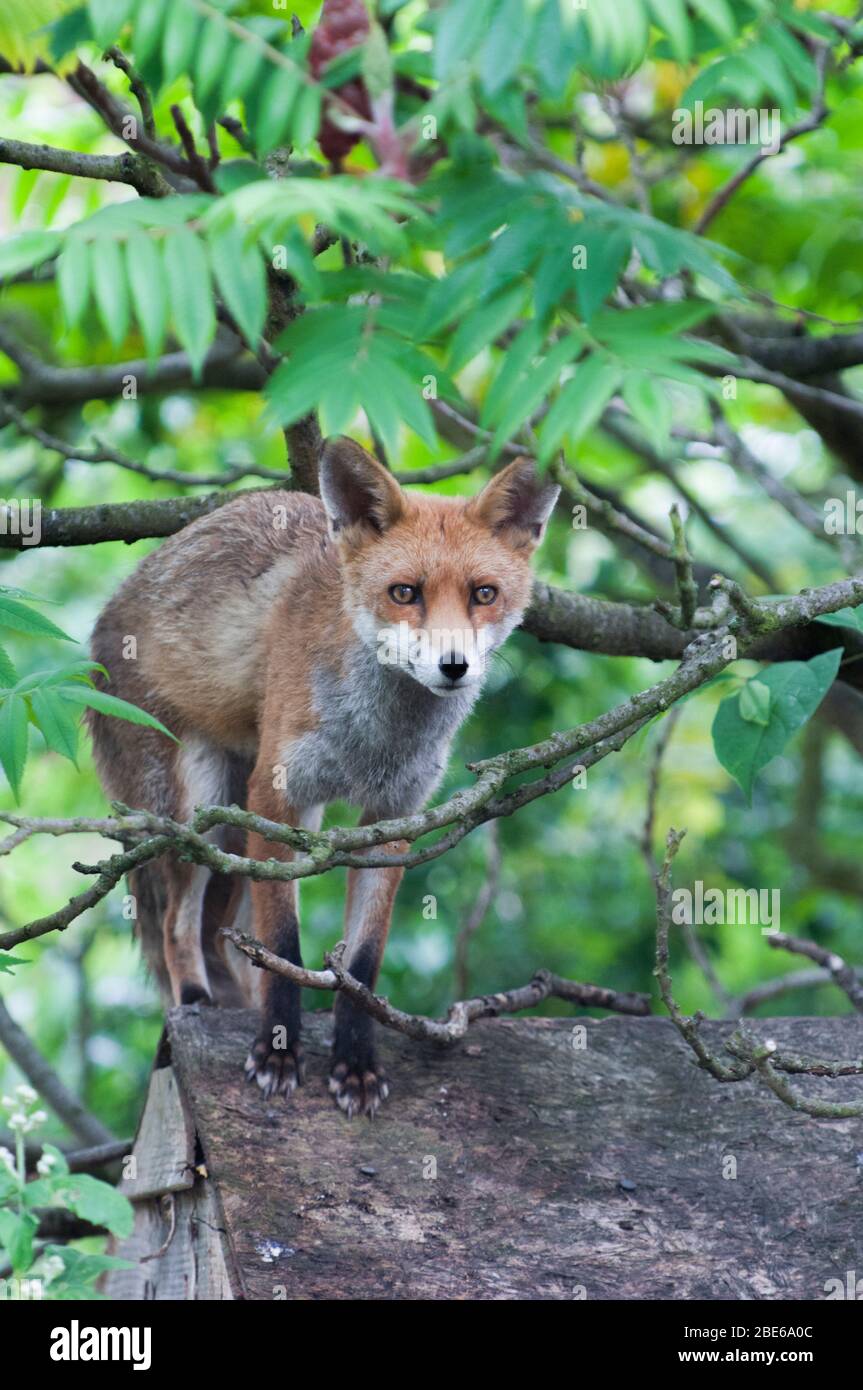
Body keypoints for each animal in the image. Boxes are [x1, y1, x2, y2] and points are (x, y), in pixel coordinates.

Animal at [88, 442, 558, 1117]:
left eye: (484, 593)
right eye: (404, 592)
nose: (454, 667)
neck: (372, 741)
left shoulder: (394, 817)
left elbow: (361, 959)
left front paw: (355, 1064)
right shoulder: (278, 794)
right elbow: (284, 944)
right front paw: (277, 1052)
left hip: (247, 834)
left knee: (220, 933)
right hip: (202, 812)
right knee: (179, 922)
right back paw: (196, 1005)